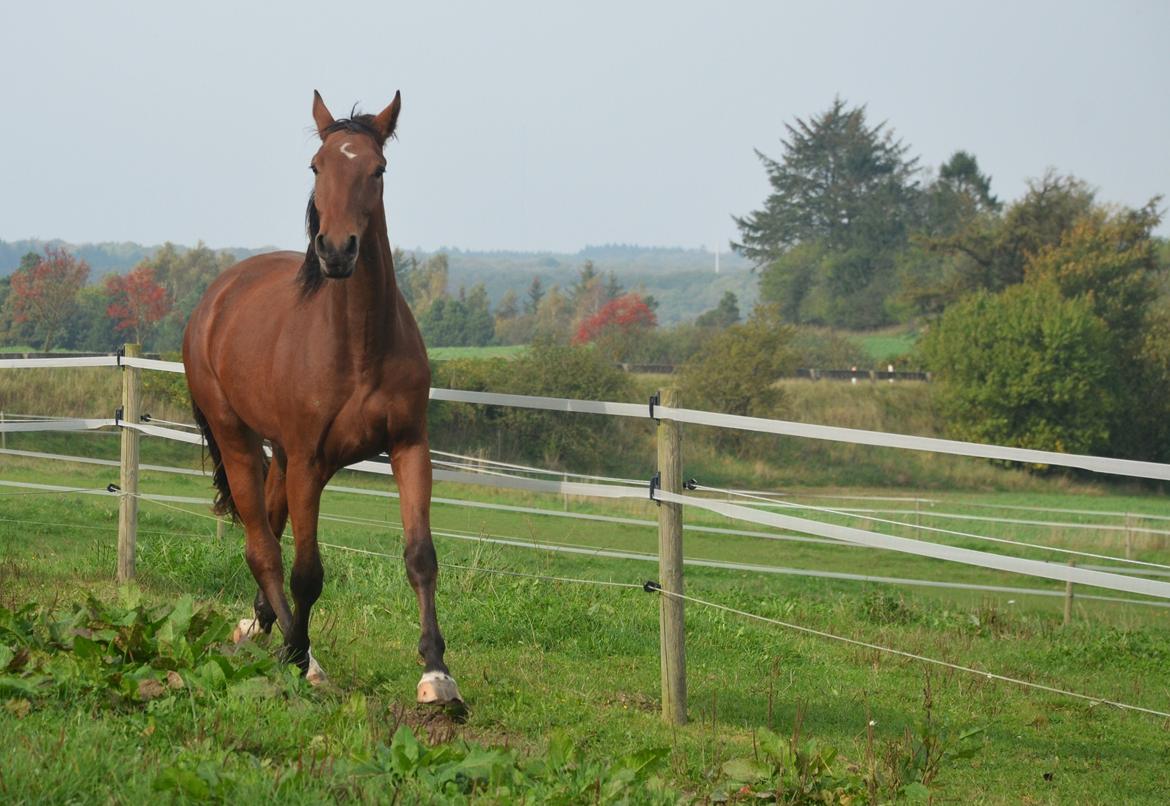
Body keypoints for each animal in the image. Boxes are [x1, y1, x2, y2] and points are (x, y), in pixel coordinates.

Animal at [180, 89, 458, 701]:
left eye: (378, 170)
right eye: (316, 166)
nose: (335, 251)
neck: (357, 347)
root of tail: (216, 297)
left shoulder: (409, 447)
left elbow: (420, 557)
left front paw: (437, 674)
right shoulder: (310, 460)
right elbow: (307, 571)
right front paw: (298, 657)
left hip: (284, 456)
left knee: (270, 528)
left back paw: (261, 624)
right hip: (239, 439)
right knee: (262, 547)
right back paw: (295, 648)